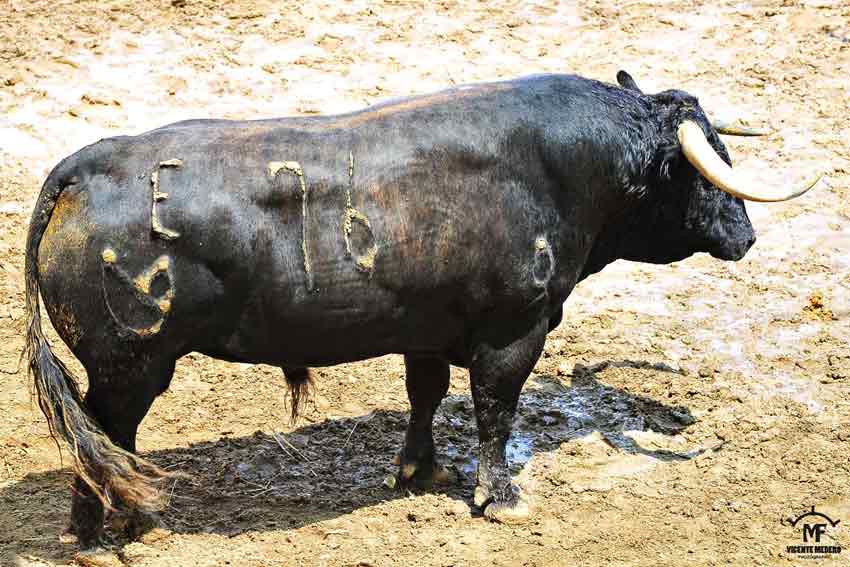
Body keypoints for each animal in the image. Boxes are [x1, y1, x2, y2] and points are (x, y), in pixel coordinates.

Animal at [24, 71, 756, 544]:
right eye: (703, 173)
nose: (747, 236)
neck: (568, 169)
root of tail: (85, 165)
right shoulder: (515, 328)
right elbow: (495, 408)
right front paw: (502, 498)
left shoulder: (427, 327)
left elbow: (425, 393)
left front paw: (421, 470)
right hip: (131, 363)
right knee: (101, 436)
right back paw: (111, 533)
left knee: (106, 437)